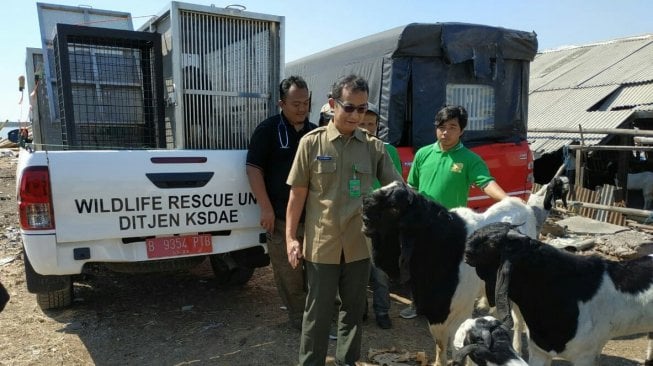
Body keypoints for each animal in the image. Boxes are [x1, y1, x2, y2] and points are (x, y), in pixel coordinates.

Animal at [360, 181, 536, 366]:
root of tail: (521, 205)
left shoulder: (460, 311)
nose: (364, 220)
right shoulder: (436, 312)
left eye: (394, 207)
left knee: (518, 320)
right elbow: (440, 343)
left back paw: (517, 348)